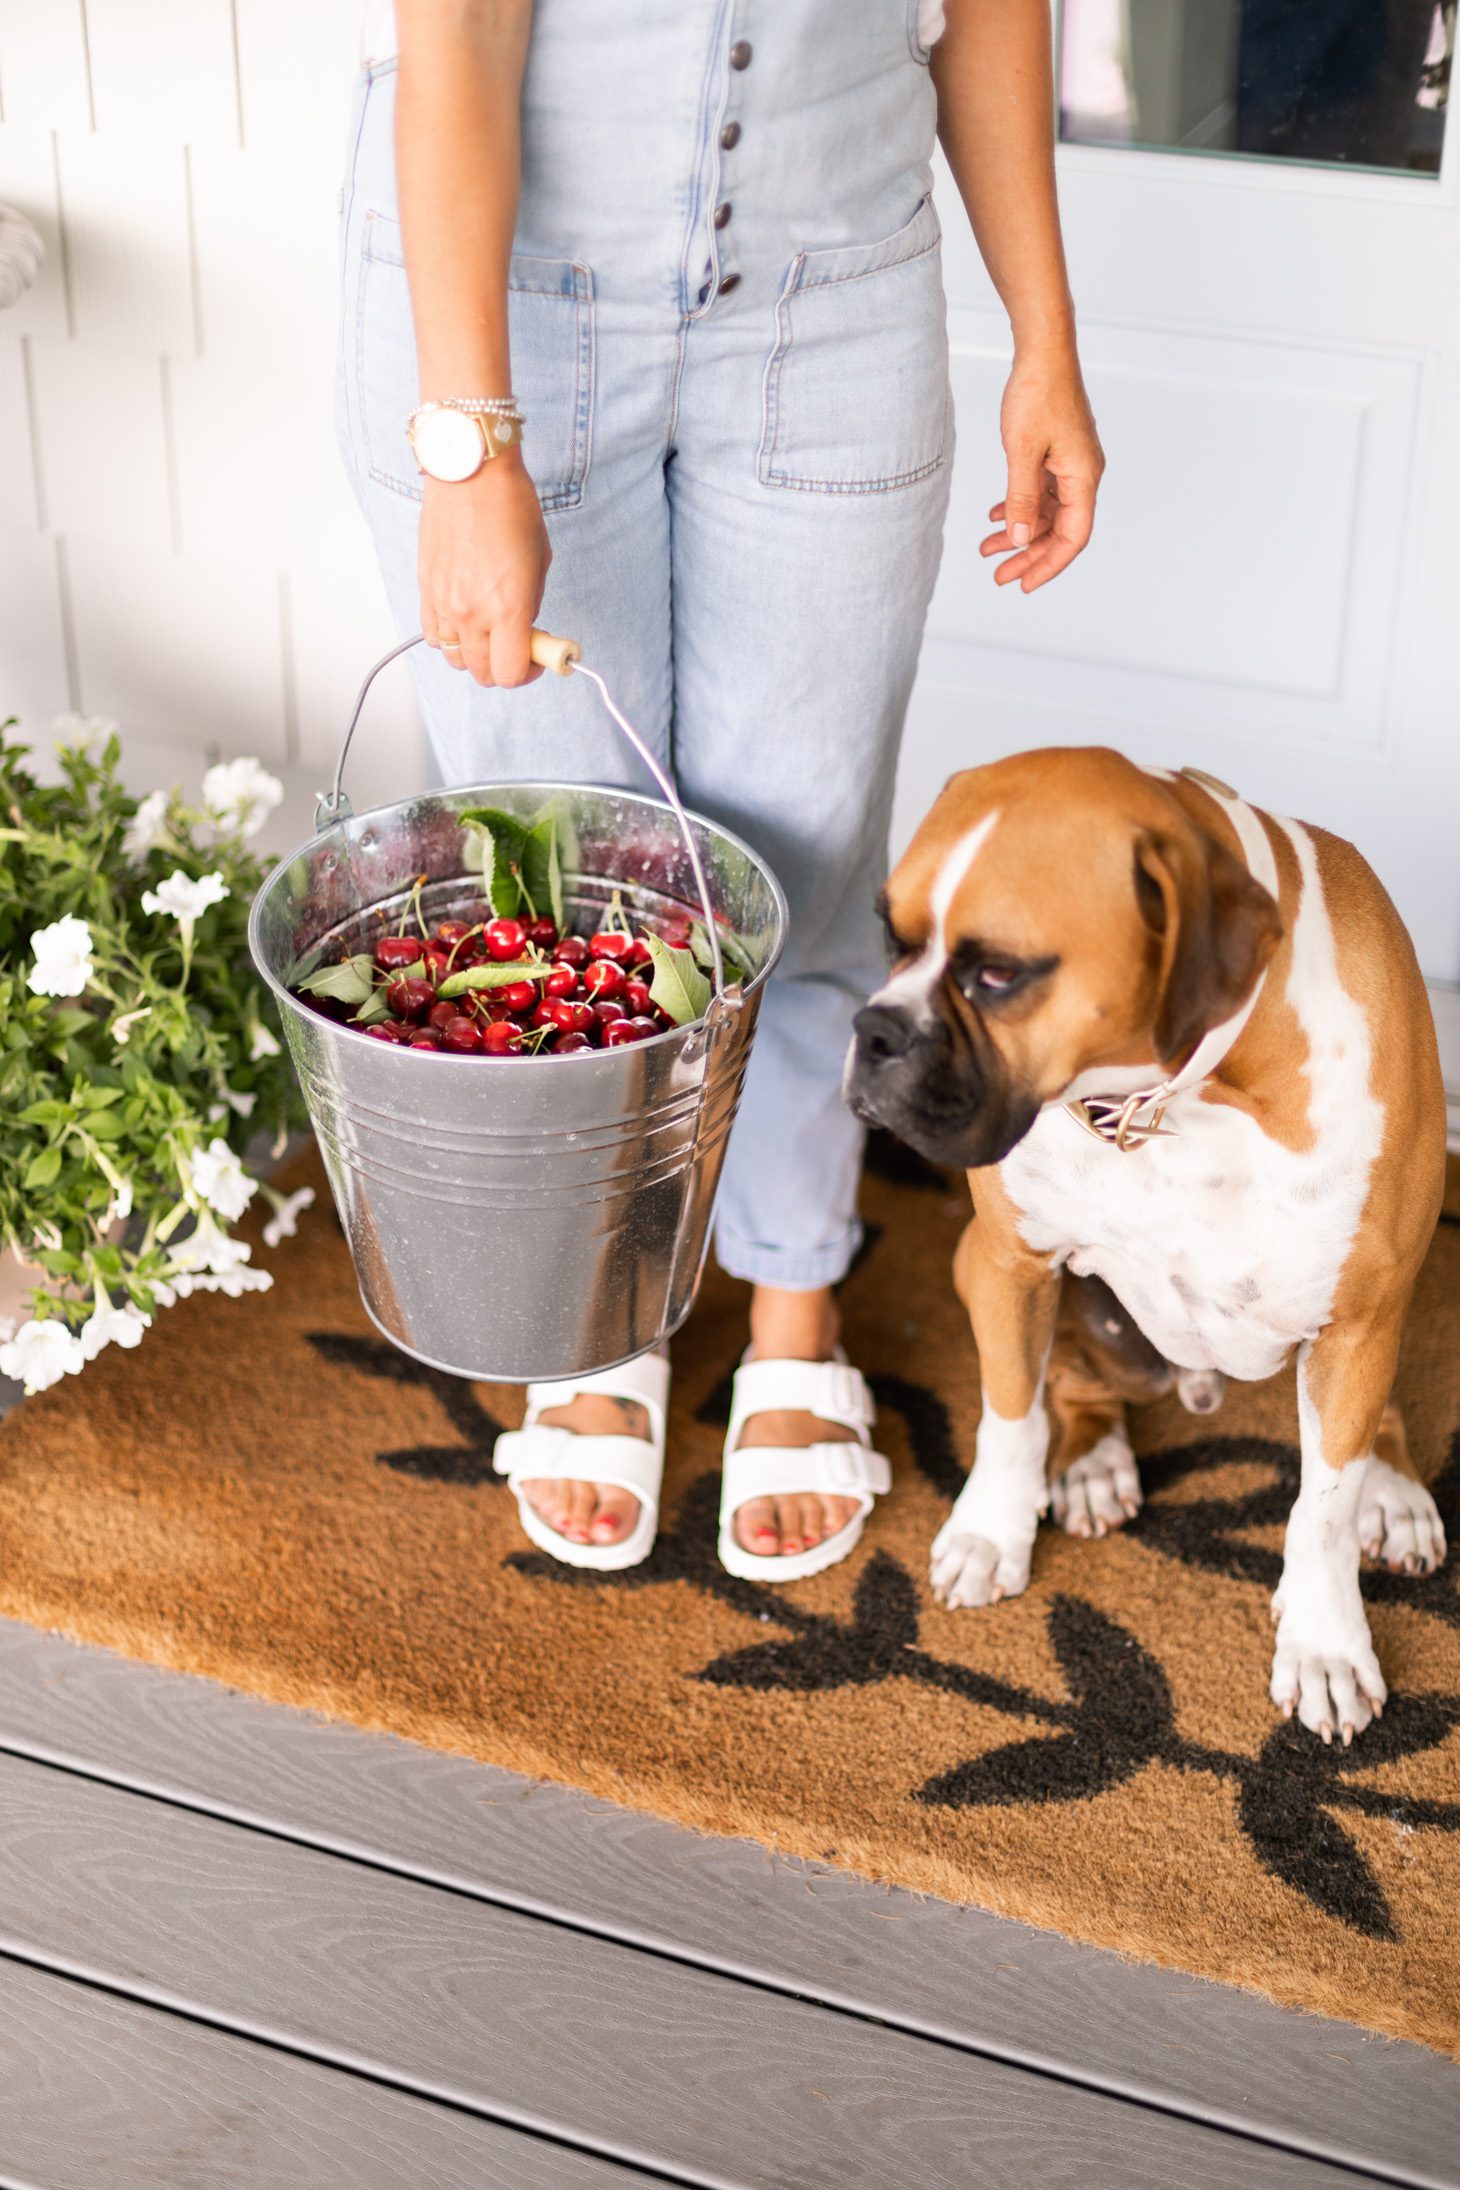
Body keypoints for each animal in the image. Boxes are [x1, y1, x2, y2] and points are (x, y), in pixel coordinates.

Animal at [844, 753, 1453, 1743]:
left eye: (999, 974)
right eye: (889, 937)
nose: (873, 1031)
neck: (1178, 1097)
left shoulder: (1357, 1321)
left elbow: (1322, 1509)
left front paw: (1324, 1642)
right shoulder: (1012, 1266)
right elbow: (1009, 1416)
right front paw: (992, 1530)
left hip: (1383, 1315)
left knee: (1372, 1428)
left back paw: (1392, 1493)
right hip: (1004, 1281)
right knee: (1070, 1381)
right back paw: (1092, 1463)